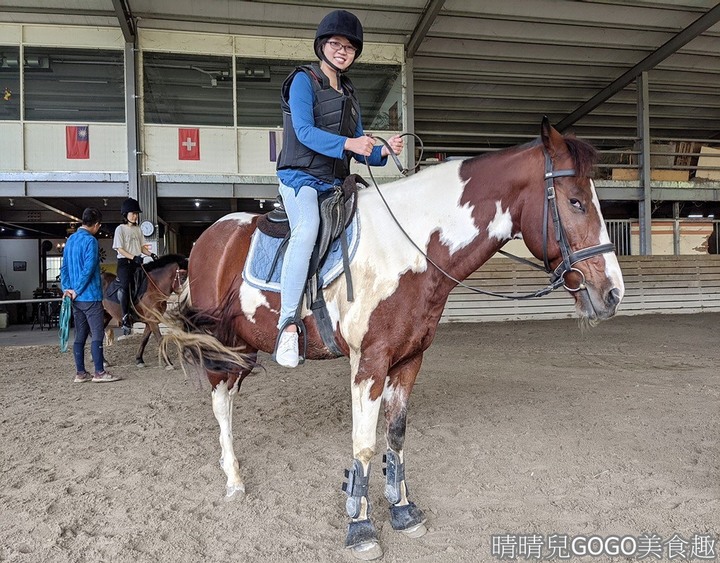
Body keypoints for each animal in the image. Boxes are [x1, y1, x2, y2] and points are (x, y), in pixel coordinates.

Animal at [163, 119, 624, 560]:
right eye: (576, 202)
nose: (612, 293)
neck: (410, 249)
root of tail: (207, 238)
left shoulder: (409, 359)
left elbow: (396, 438)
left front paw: (402, 509)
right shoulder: (369, 363)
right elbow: (365, 445)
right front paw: (360, 527)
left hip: (241, 348)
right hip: (222, 345)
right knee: (220, 403)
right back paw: (234, 479)